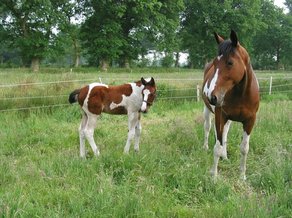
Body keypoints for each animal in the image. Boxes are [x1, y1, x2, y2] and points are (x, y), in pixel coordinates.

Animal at [203, 30, 260, 181]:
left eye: (230, 62)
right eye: (215, 63)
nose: (212, 96)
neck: (241, 94)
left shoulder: (250, 121)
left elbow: (244, 148)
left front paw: (242, 176)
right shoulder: (220, 116)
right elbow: (217, 146)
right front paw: (214, 176)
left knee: (225, 135)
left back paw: (225, 156)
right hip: (208, 111)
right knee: (208, 128)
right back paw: (205, 147)